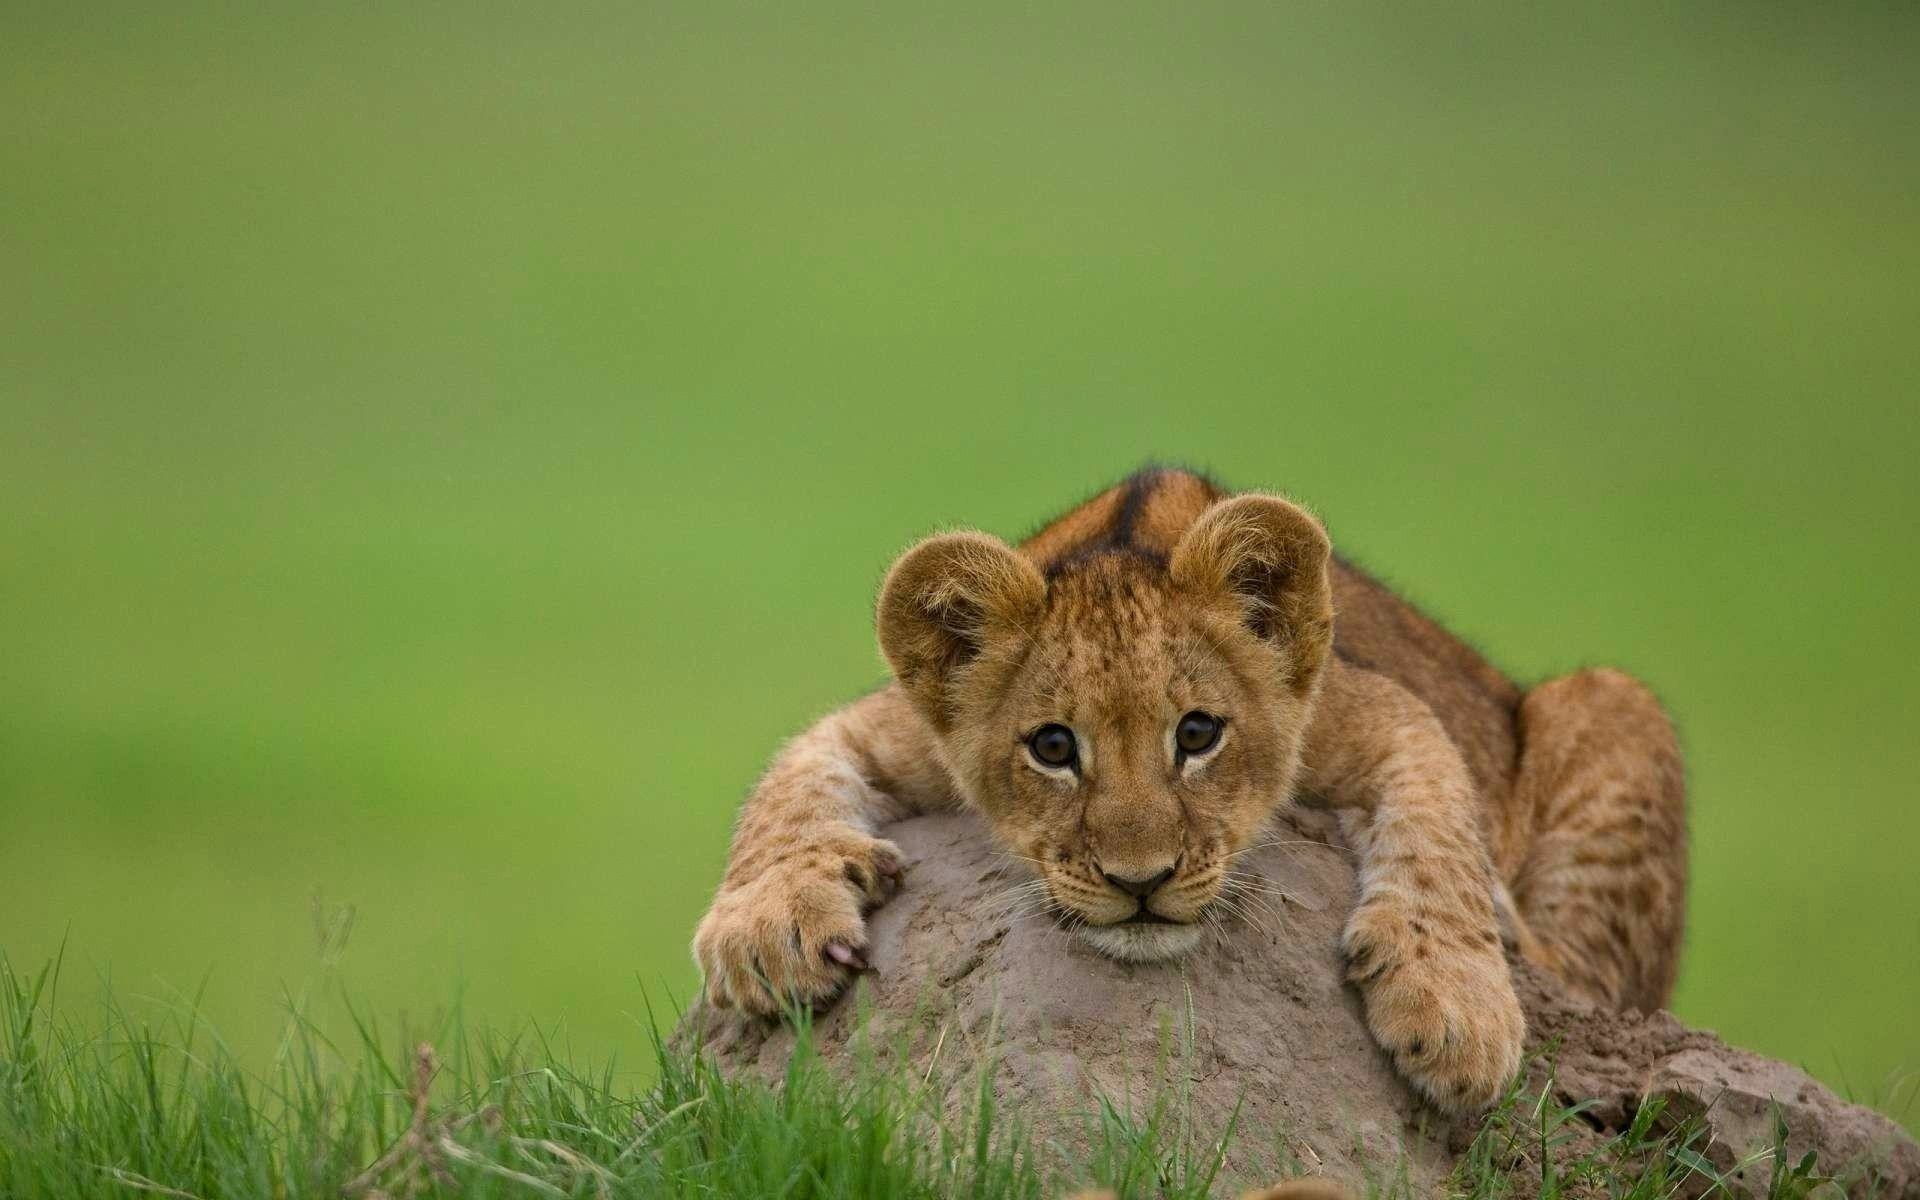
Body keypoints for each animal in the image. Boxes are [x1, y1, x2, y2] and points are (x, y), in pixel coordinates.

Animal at [691, 467, 1687, 1111]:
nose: (1142, 882)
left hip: (1615, 702)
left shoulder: (1379, 707)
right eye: (1054, 746)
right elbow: (786, 785)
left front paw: (1454, 1004)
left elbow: (1441, 824)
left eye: (1199, 734)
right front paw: (767, 930)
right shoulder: (888, 726)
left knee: (1592, 979)